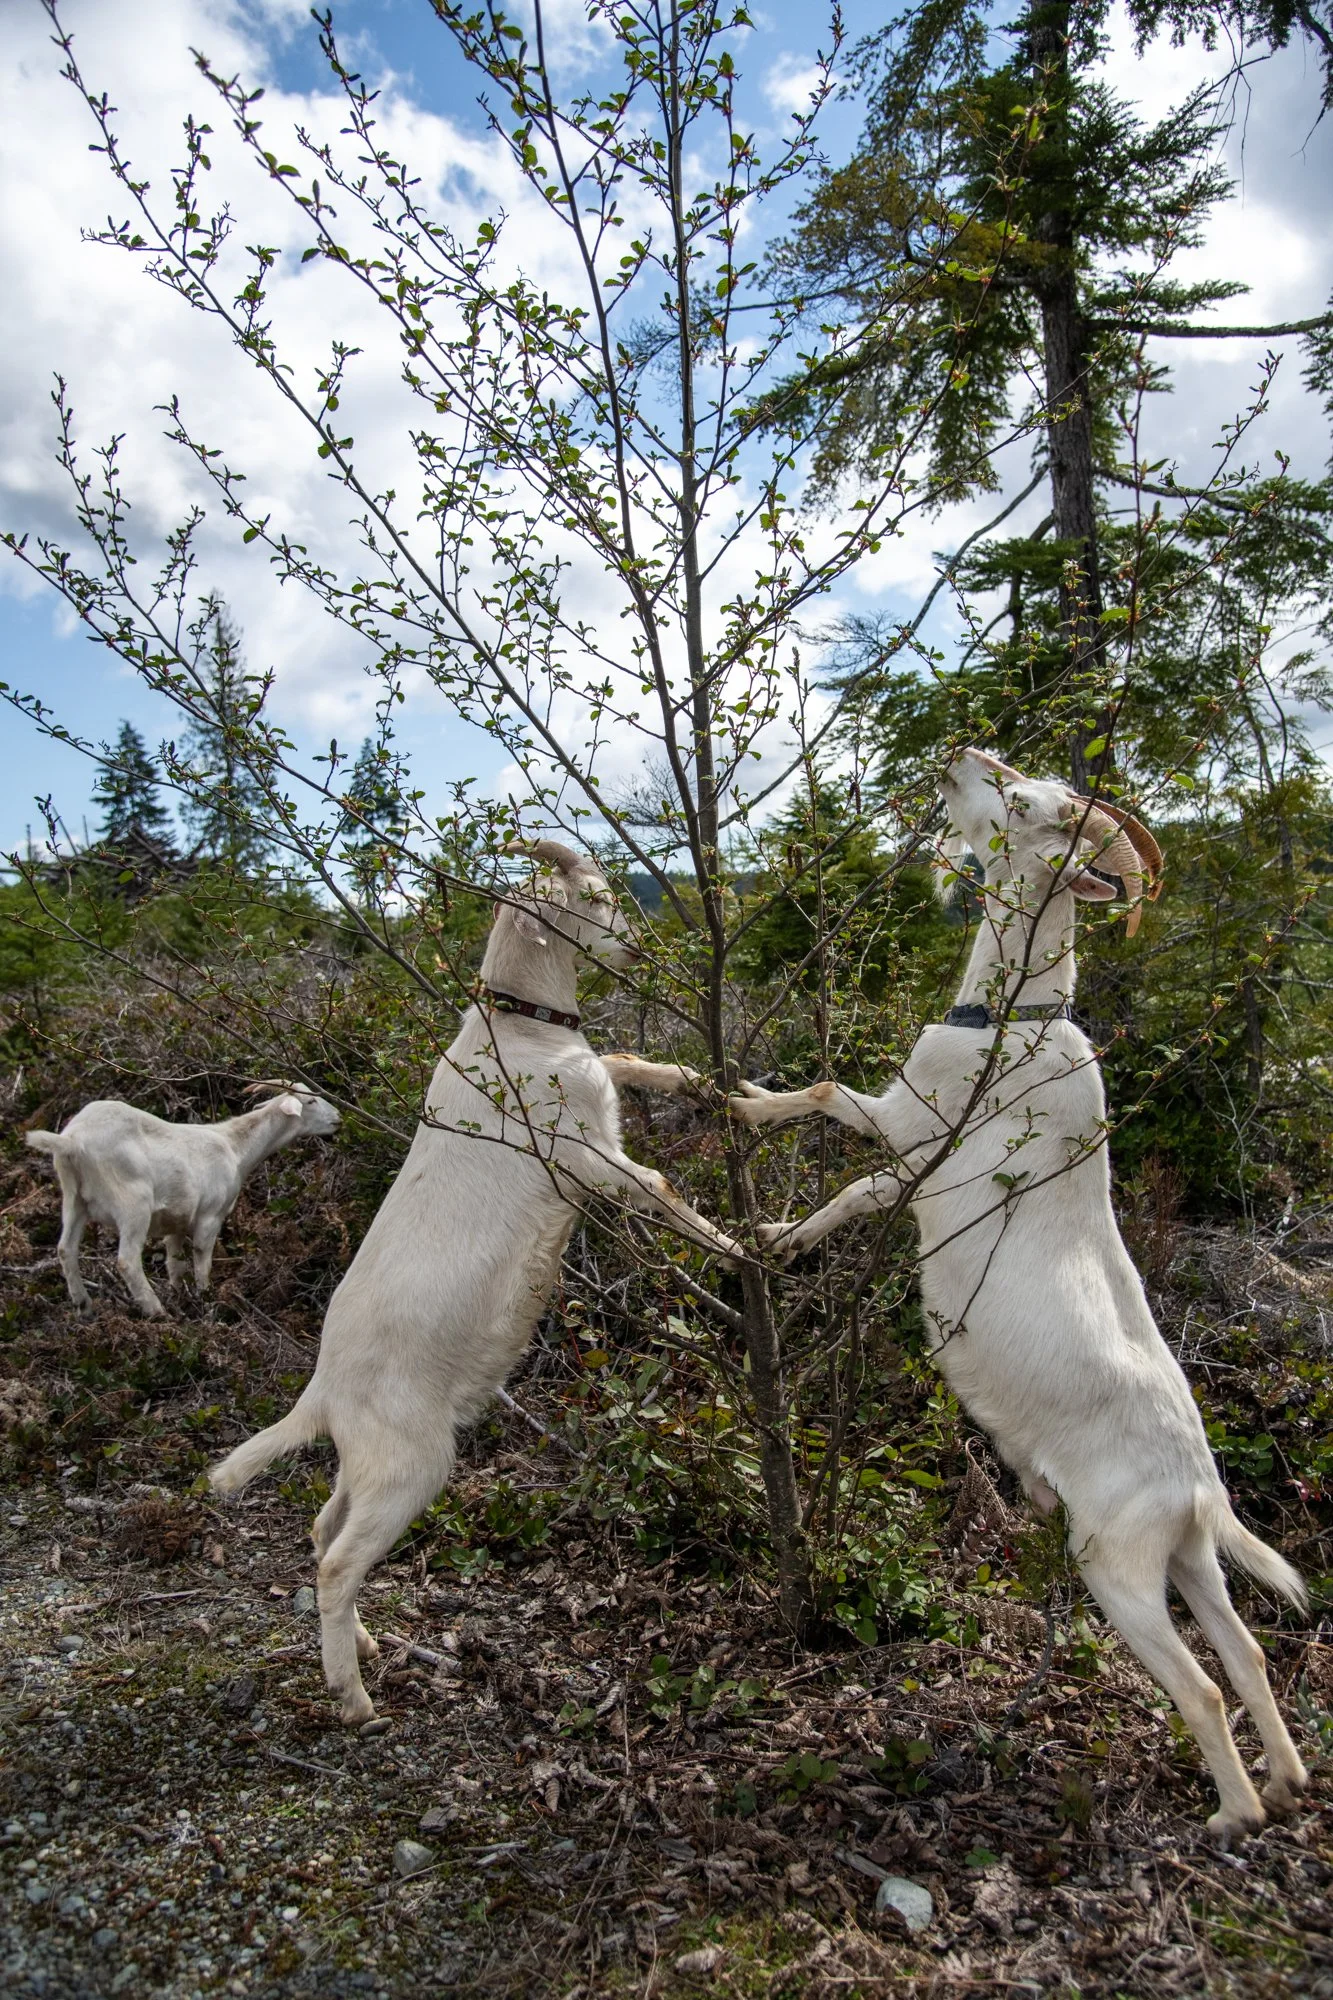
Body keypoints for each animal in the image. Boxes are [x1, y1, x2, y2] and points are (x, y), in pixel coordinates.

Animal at [26, 1083, 341, 1318]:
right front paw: (205, 1298)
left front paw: (181, 1295)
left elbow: (174, 1262)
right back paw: (156, 1311)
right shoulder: (211, 1215)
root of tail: (71, 1140)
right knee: (127, 1261)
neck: (236, 1148)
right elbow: (202, 1257)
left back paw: (84, 1307)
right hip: (132, 1201)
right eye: (310, 1102)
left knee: (66, 1249)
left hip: (74, 1198)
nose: (338, 1117)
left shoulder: (175, 1220)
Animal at [210, 841, 742, 1726]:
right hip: (412, 1464)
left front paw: (699, 1083)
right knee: (337, 1563)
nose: (641, 944)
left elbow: (627, 1062)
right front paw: (745, 1248)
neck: (517, 1030)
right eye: (598, 894)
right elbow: (661, 1185)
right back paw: (353, 1698)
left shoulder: (595, 1108)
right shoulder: (584, 1158)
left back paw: (361, 1647)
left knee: (321, 1533)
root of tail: (322, 1390)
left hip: (365, 1464)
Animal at [730, 748, 1308, 1842]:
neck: (1011, 1027)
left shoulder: (908, 1133)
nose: (961, 755)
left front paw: (750, 1142)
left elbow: (829, 1107)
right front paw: (775, 1220)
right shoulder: (906, 1170)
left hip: (1115, 1565)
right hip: (1188, 1560)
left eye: (1027, 802)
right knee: (1247, 1651)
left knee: (1200, 1686)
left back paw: (1232, 1815)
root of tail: (1197, 1485)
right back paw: (1292, 1781)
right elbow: (848, 1179)